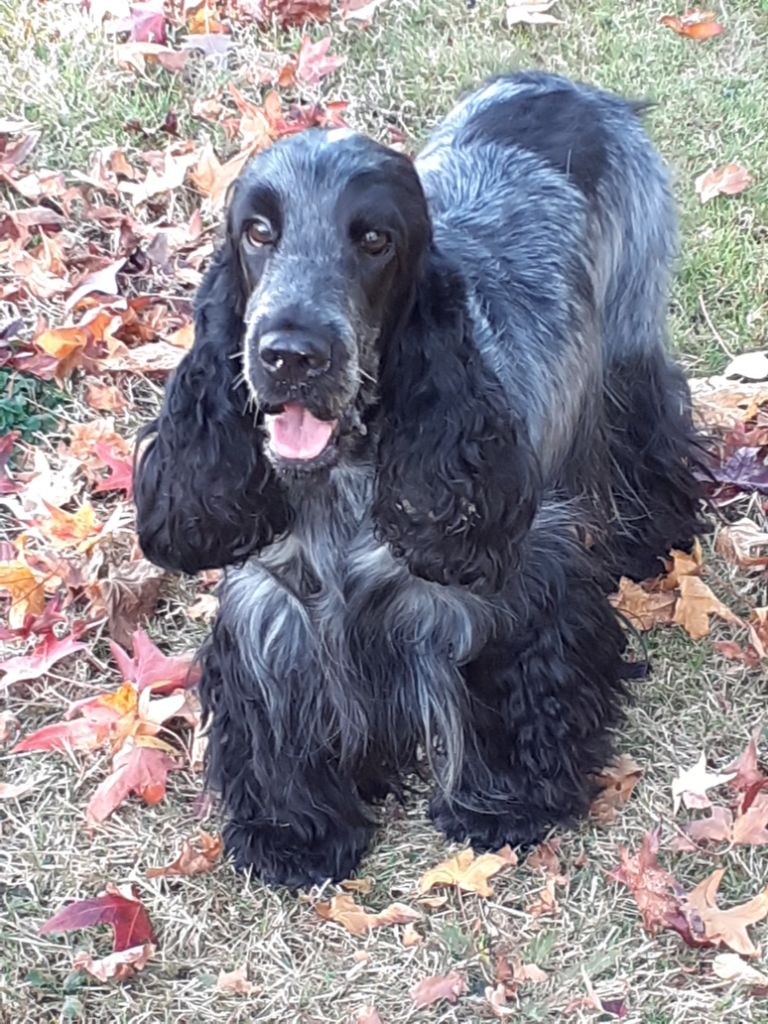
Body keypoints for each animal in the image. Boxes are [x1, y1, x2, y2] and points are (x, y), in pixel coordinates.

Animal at [134, 72, 704, 888]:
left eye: (375, 239)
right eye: (258, 232)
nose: (289, 354)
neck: (346, 477)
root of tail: (559, 84)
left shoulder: (511, 588)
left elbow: (507, 689)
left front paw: (507, 803)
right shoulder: (272, 603)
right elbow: (276, 716)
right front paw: (293, 831)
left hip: (629, 333)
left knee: (644, 432)